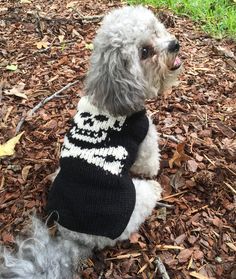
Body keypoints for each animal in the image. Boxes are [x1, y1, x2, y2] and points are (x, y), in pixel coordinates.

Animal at [0, 5, 182, 278]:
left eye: (156, 29)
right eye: (144, 52)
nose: (174, 45)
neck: (110, 96)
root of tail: (76, 238)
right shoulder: (145, 136)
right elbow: (149, 162)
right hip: (135, 200)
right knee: (147, 192)